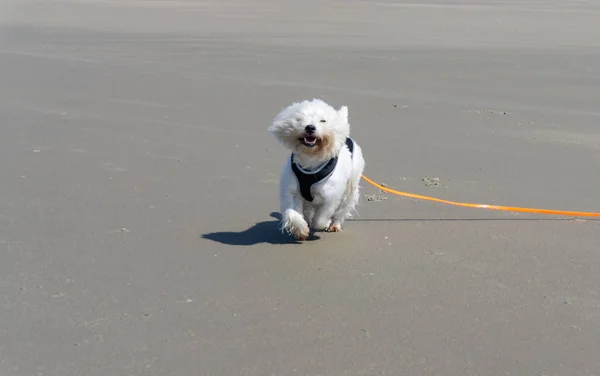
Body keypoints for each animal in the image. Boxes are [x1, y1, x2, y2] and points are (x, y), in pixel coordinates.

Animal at [268, 99, 366, 241]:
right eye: (299, 119)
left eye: (323, 121)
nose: (310, 127)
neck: (311, 159)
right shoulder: (292, 192)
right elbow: (292, 212)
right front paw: (301, 230)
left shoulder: (330, 197)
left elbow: (321, 217)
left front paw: (322, 224)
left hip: (350, 188)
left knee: (342, 209)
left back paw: (334, 225)